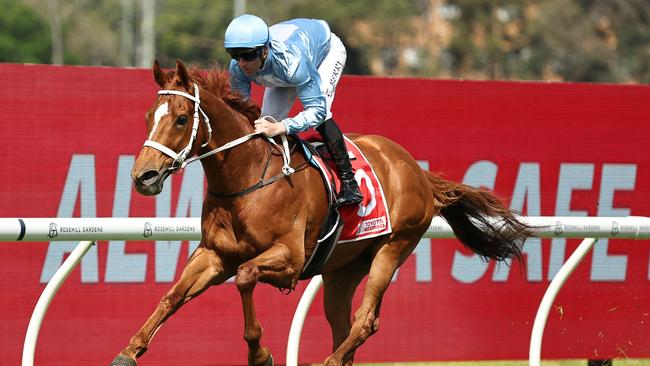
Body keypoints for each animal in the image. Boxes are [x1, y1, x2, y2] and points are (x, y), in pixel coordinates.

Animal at [111, 58, 532, 364]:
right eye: (149, 116)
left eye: (182, 119)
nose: (143, 176)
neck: (246, 178)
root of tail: (416, 169)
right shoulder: (214, 255)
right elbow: (172, 296)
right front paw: (129, 350)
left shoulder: (291, 258)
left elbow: (246, 277)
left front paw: (260, 353)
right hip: (341, 272)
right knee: (344, 323)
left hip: (393, 247)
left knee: (365, 321)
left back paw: (329, 360)